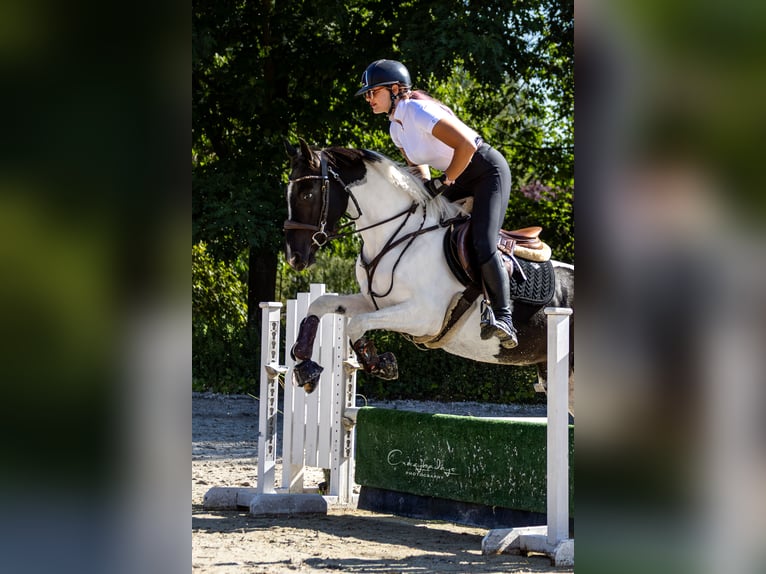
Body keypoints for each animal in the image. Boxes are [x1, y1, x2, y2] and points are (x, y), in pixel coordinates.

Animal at [282, 138, 575, 415]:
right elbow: (321, 304)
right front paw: (305, 366)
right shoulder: (375, 302)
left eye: (307, 194)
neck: (395, 236)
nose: (294, 257)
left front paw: (379, 363)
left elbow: (356, 324)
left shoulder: (424, 317)